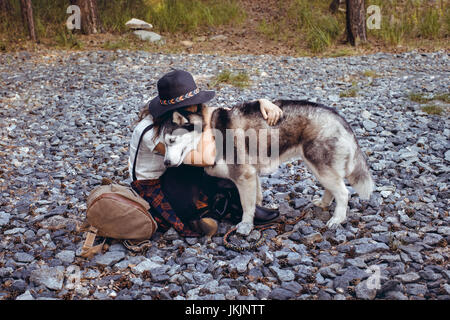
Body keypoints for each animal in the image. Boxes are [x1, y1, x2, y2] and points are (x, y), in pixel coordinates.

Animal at [162, 100, 372, 235]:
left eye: (171, 141)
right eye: (163, 143)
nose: (165, 163)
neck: (209, 133)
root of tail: (339, 118)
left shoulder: (244, 175)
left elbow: (247, 205)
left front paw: (246, 225)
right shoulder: (251, 175)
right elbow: (255, 199)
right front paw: (258, 215)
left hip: (320, 167)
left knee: (343, 192)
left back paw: (337, 219)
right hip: (317, 167)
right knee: (333, 188)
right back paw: (324, 203)